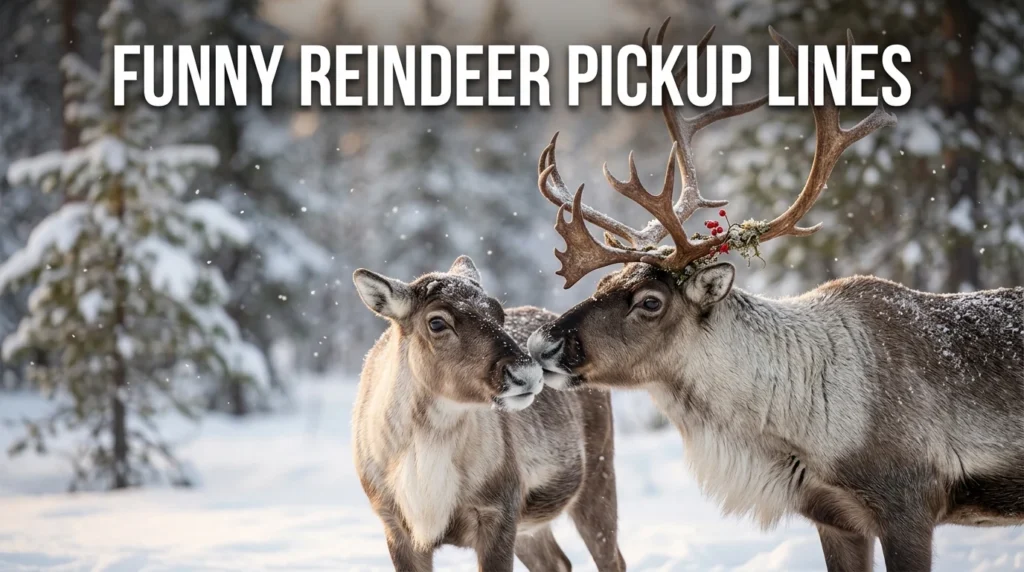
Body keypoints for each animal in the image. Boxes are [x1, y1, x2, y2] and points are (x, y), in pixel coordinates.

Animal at [352, 255, 627, 572]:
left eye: (498, 312)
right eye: (437, 322)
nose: (527, 373)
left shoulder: (499, 511)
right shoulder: (395, 524)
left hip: (598, 472)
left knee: (612, 558)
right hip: (531, 526)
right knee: (557, 562)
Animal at [526, 21, 1024, 572]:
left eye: (650, 301)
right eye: (602, 285)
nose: (543, 342)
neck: (793, 430)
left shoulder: (908, 505)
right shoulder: (836, 518)